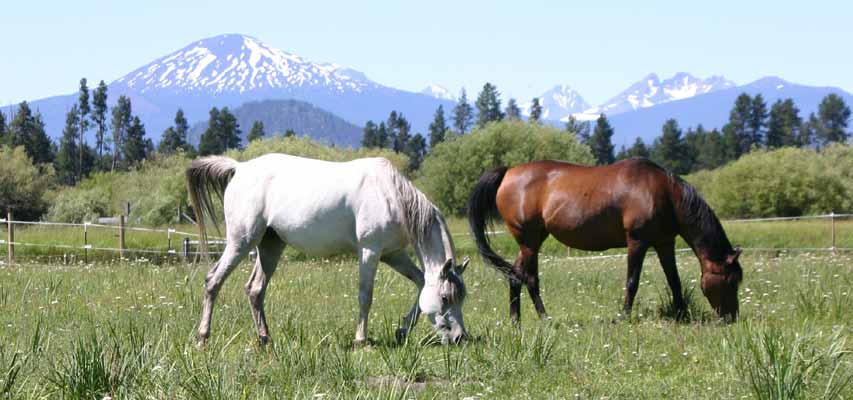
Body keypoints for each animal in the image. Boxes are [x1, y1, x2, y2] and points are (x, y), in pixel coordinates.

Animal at [187, 152, 470, 344]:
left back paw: (265, 339)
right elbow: (365, 295)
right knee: (213, 281)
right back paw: (202, 337)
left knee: (255, 290)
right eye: (446, 298)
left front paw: (402, 330)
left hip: (270, 246)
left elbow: (421, 282)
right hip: (241, 242)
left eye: (461, 298)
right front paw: (361, 339)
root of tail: (240, 167)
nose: (460, 338)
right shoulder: (370, 252)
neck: (391, 195)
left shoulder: (393, 254)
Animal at [466, 158, 740, 324]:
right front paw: (624, 316)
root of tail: (507, 172)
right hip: (530, 242)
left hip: (530, 242)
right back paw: (544, 317)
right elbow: (632, 281)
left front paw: (681, 314)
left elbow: (674, 281)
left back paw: (517, 320)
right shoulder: (637, 242)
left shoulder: (664, 243)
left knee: (516, 277)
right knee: (528, 278)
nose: (732, 317)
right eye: (730, 281)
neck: (662, 193)